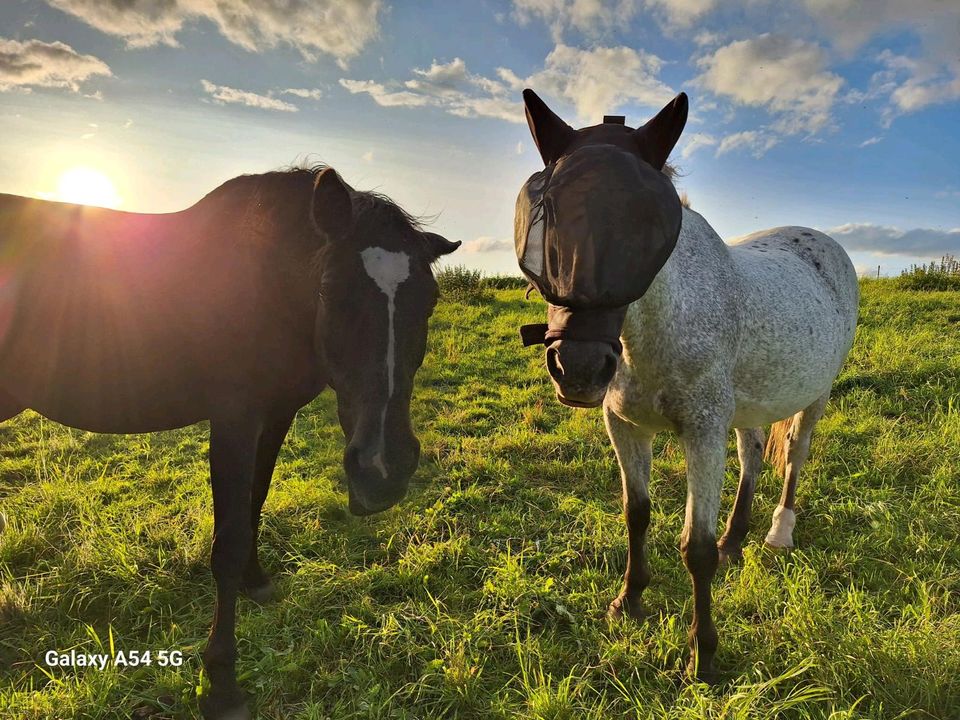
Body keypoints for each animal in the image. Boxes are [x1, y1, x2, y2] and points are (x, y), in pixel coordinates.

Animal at [0, 165, 460, 720]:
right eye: (329, 289)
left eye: (430, 300)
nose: (383, 471)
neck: (263, 285)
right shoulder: (234, 421)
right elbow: (229, 540)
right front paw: (220, 684)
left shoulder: (276, 414)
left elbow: (254, 505)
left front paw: (256, 581)